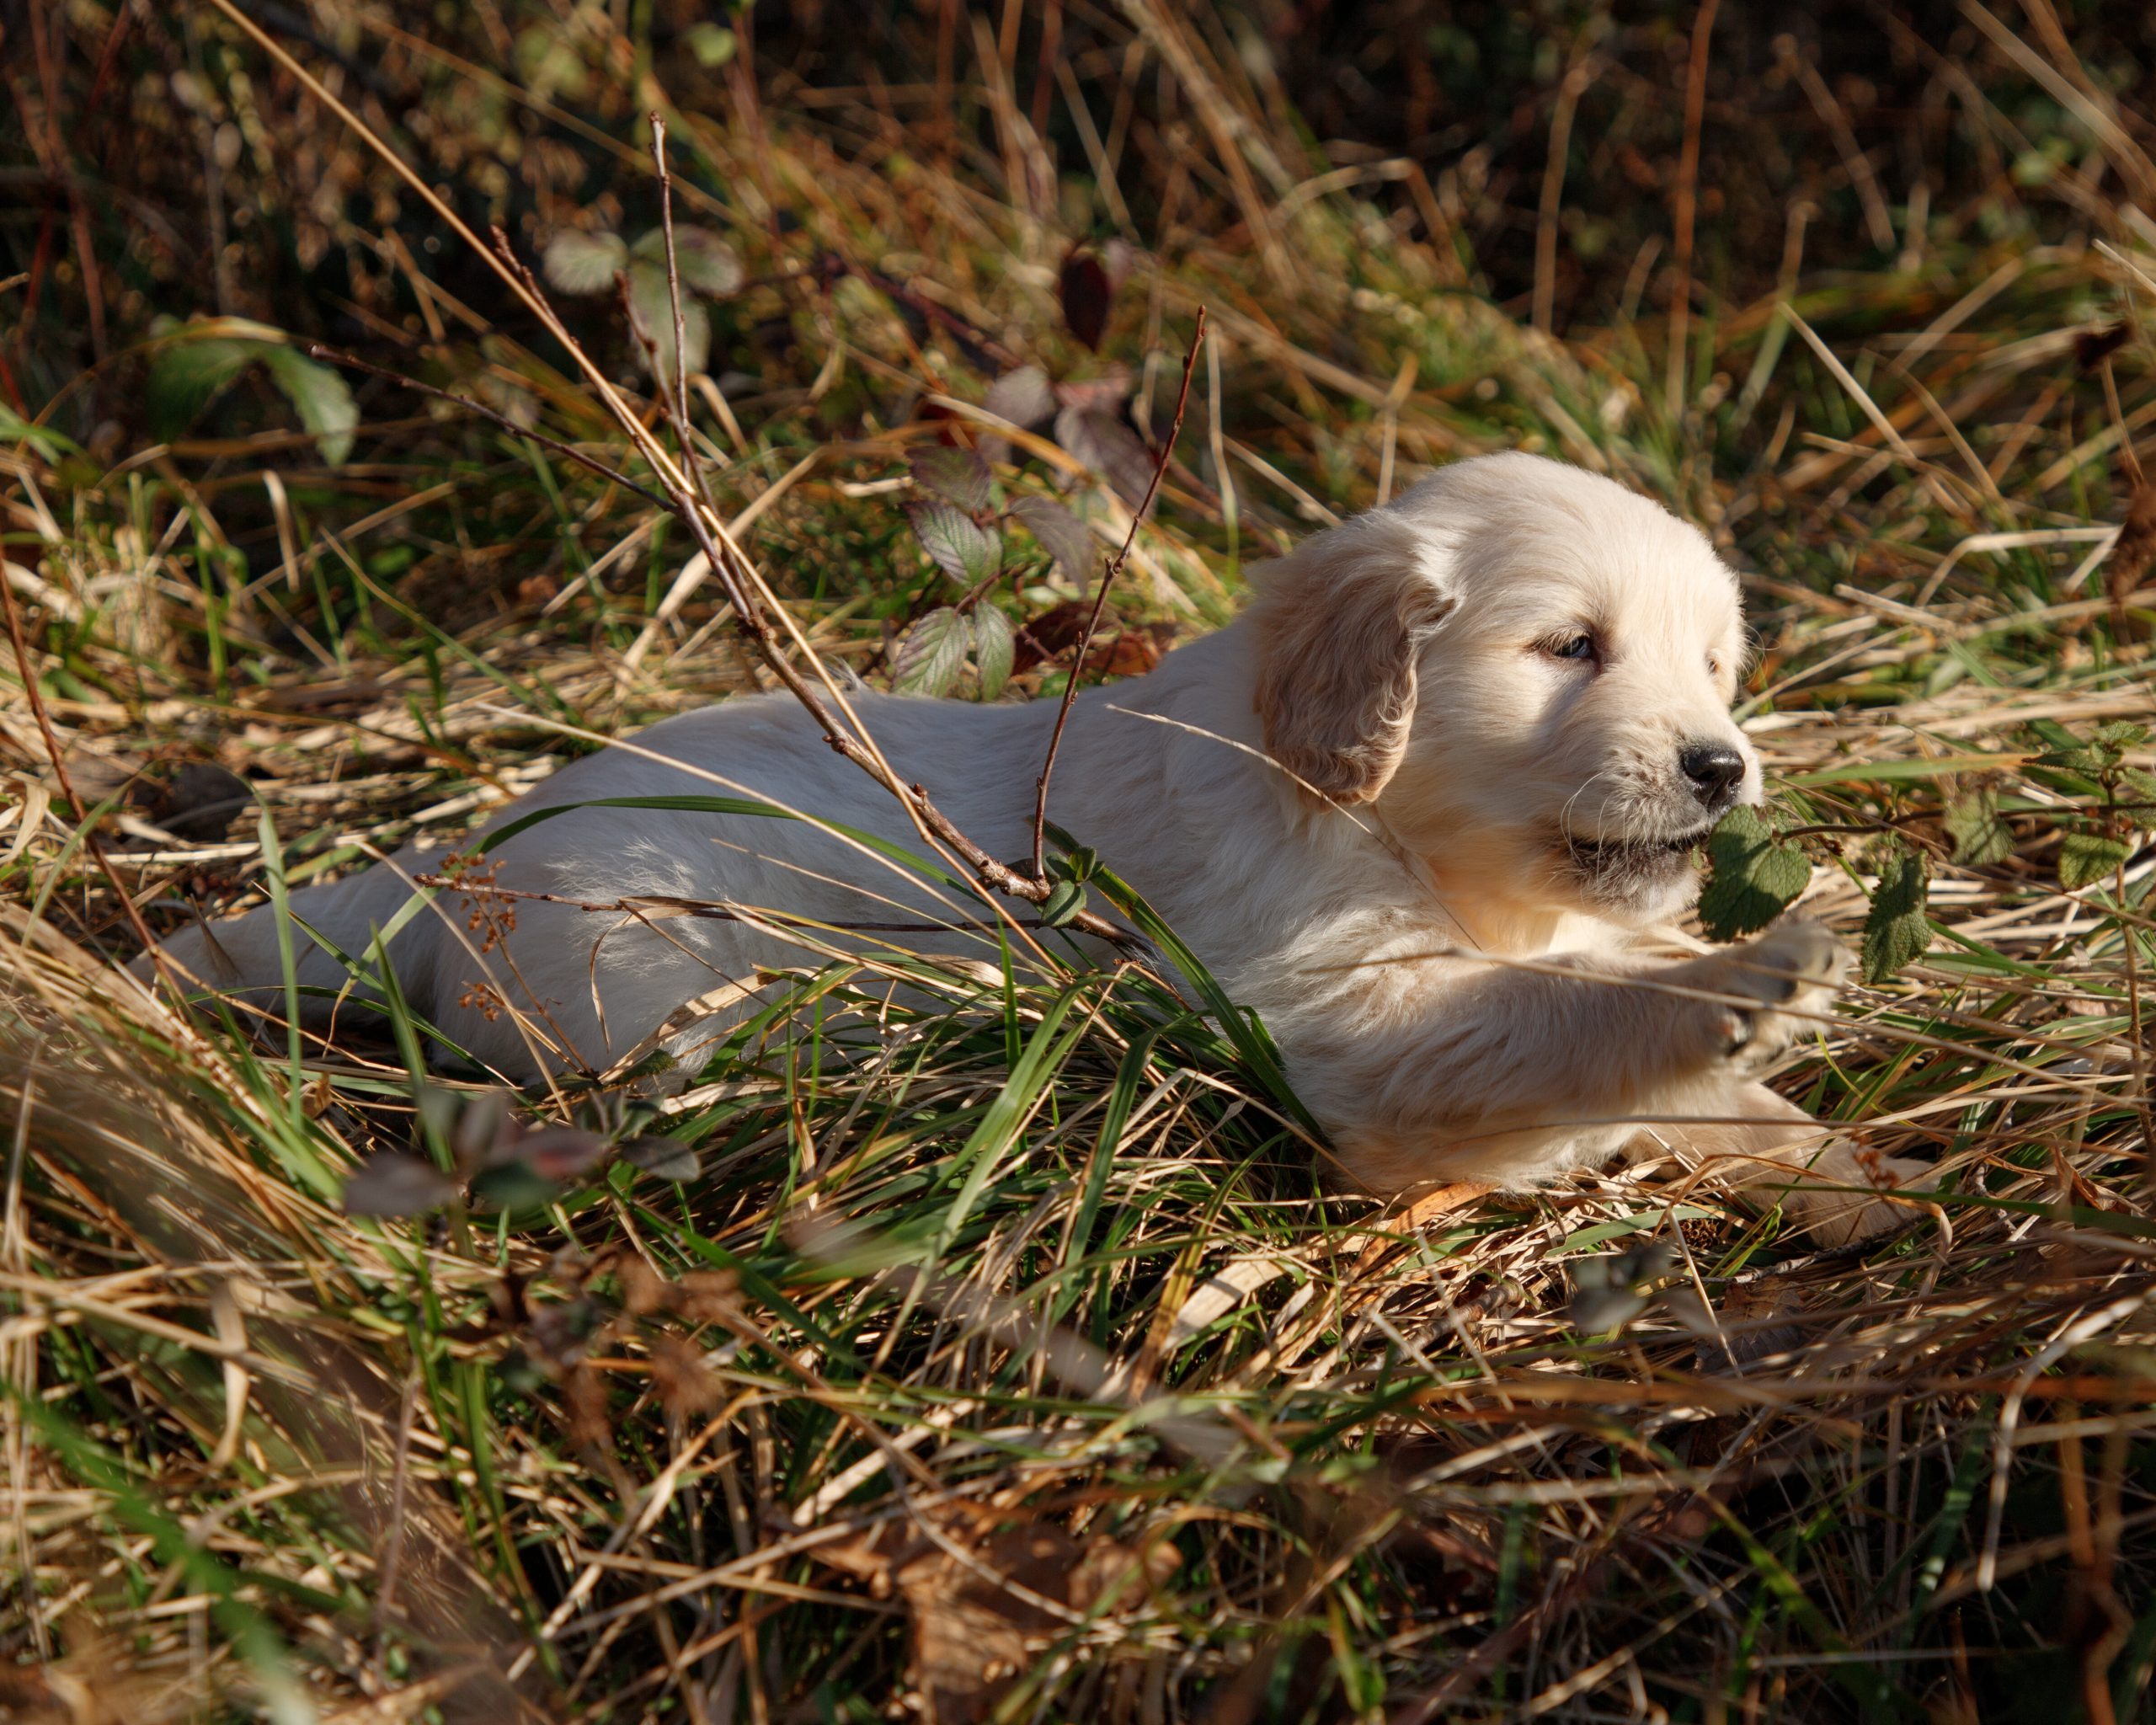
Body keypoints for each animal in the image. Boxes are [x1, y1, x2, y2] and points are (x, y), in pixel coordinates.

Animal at [156, 455, 1940, 1242]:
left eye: (1716, 663)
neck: (1398, 835)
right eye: (1571, 648)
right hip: (640, 975)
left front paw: (1844, 1167)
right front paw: (1770, 974)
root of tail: (443, 858)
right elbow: (1565, 1028)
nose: (1723, 768)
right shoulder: (1345, 1035)